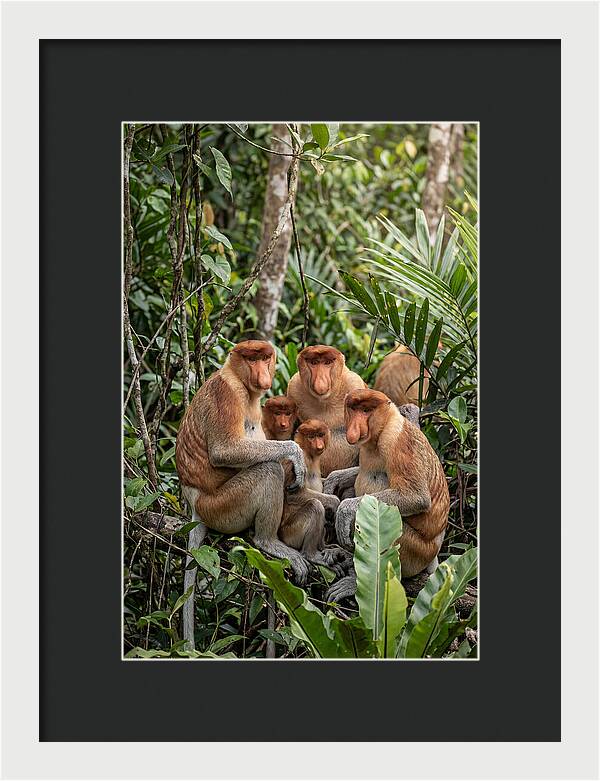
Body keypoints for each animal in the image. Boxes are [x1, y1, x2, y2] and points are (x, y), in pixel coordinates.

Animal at [175, 339, 311, 584]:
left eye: (265, 358)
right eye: (252, 359)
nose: (262, 374)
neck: (237, 377)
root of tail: (194, 501)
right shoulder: (227, 394)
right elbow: (224, 450)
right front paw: (296, 453)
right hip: (221, 508)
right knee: (269, 470)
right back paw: (267, 542)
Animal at [287, 345, 366, 478]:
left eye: (327, 362)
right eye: (314, 362)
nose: (321, 381)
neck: (324, 402)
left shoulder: (354, 383)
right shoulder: (293, 388)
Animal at [323, 389, 449, 603]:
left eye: (366, 411)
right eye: (353, 409)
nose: (354, 429)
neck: (383, 428)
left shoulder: (397, 442)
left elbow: (416, 497)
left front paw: (345, 510)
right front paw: (333, 480)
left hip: (415, 551)